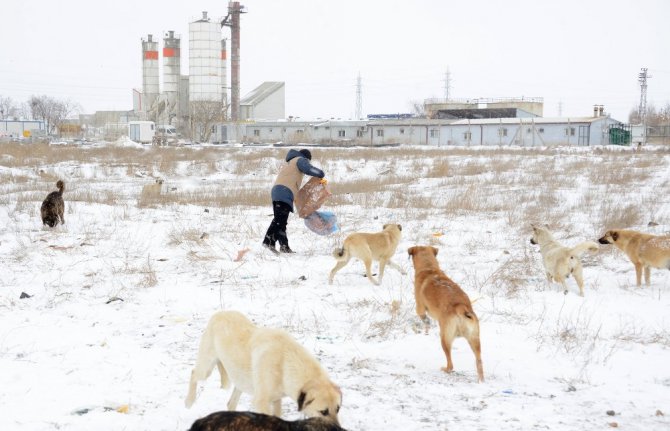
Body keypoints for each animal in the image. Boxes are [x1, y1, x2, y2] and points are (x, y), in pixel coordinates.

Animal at [406, 245, 486, 384]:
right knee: (479, 361)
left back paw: (445, 369)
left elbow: (424, 319)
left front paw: (426, 329)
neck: (429, 269)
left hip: (445, 337)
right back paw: (481, 380)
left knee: (451, 364)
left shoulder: (420, 308)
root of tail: (460, 307)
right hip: (475, 339)